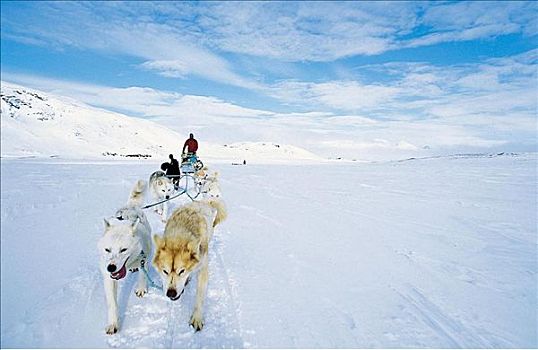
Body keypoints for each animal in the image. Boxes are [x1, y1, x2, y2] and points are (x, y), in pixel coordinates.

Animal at [96, 180, 150, 334]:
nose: (111, 267)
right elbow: (112, 304)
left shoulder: (145, 258)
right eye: (107, 249)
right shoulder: (108, 279)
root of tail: (130, 206)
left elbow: (143, 275)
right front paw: (113, 323)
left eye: (123, 250)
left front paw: (141, 288)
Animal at [152, 200, 225, 330]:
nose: (171, 293)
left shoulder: (202, 269)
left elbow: (199, 297)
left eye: (182, 271)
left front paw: (197, 318)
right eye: (165, 271)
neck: (181, 233)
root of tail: (201, 202)